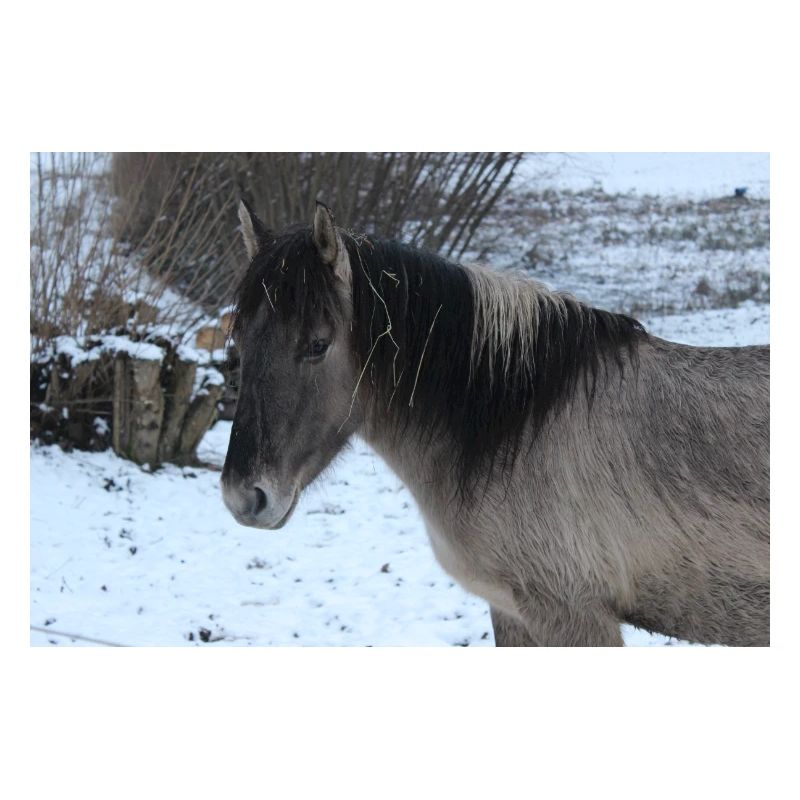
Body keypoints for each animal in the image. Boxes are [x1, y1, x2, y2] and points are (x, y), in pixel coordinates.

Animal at [221, 200, 770, 646]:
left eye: (318, 344)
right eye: (240, 339)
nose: (244, 497)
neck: (521, 429)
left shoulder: (574, 616)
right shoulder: (512, 612)